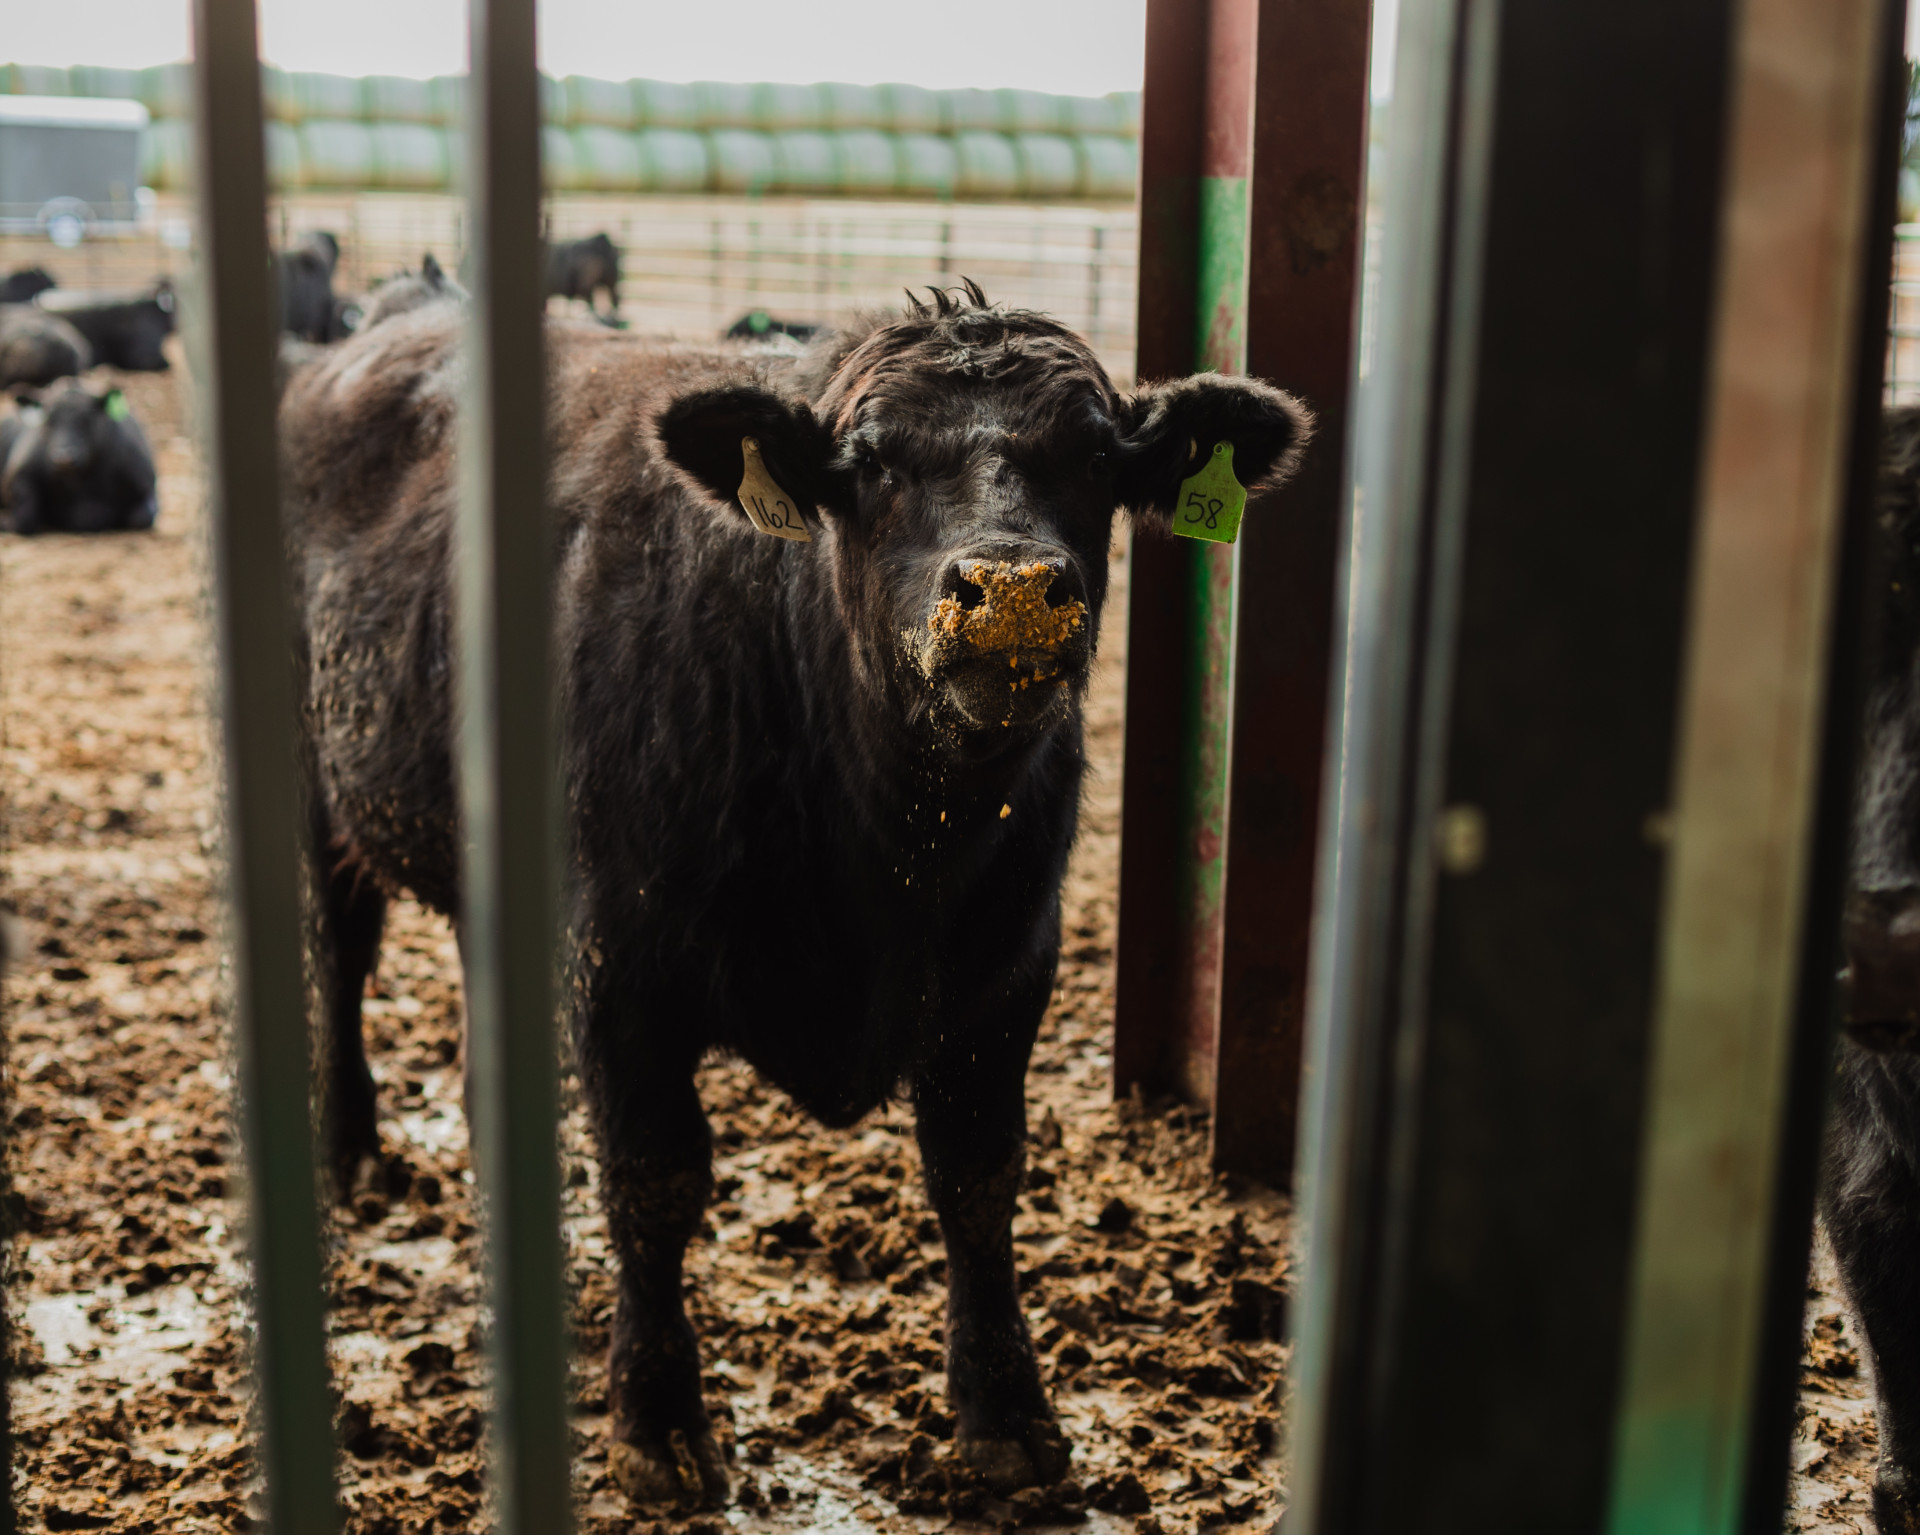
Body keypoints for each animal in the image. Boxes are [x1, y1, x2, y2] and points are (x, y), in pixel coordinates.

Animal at [1, 381, 158, 535]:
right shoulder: (22, 476)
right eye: (48, 420)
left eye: (87, 418)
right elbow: (25, 518)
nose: (64, 459)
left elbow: (141, 517)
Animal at [278, 280, 1310, 1509]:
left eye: (1098, 458)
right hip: (318, 794)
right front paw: (657, 1416)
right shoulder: (621, 971)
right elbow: (654, 1180)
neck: (891, 839)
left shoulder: (1007, 971)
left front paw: (1008, 1410)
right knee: (340, 953)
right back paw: (347, 1150)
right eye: (870, 463)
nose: (1012, 592)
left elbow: (978, 1178)